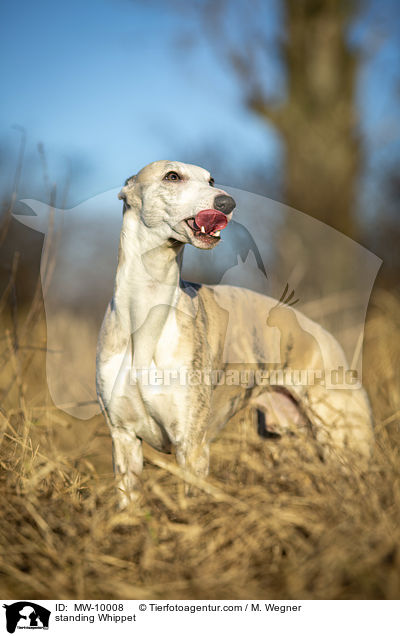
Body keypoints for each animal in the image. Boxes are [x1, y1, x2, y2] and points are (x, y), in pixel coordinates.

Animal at [95, 160, 374, 506]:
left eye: (211, 180)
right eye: (172, 176)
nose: (227, 203)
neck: (145, 312)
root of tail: (328, 338)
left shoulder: (191, 445)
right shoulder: (124, 439)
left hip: (344, 438)